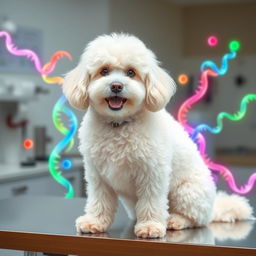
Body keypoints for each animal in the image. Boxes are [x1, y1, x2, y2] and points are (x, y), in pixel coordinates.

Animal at [62, 33, 254, 238]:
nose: (116, 86)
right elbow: (100, 201)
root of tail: (213, 209)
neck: (119, 125)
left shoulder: (152, 172)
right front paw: (94, 222)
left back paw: (175, 220)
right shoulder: (98, 176)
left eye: (131, 72)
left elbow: (151, 201)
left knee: (194, 219)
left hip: (187, 191)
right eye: (104, 71)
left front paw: (150, 226)